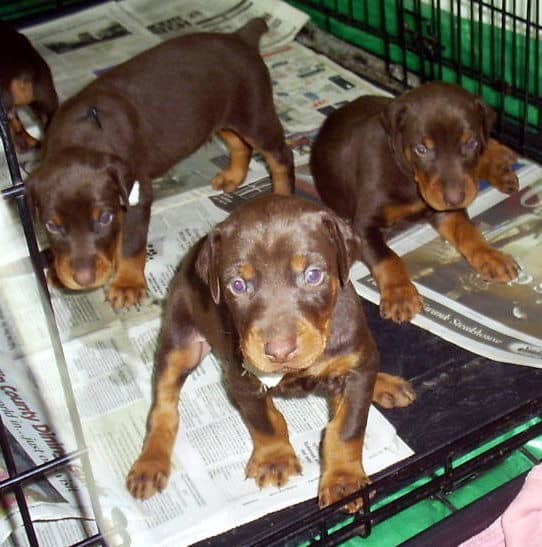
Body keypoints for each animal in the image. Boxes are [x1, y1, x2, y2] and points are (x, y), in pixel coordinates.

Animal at [23, 18, 296, 308]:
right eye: (51, 226)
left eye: (104, 218)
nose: (84, 279)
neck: (82, 137)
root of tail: (240, 38)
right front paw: (56, 270)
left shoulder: (137, 195)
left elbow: (132, 244)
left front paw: (127, 283)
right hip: (219, 118)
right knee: (239, 144)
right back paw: (233, 176)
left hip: (255, 116)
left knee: (281, 156)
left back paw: (281, 196)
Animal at [127, 196, 416, 512]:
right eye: (238, 285)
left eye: (313, 275)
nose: (280, 351)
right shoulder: (241, 378)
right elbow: (264, 420)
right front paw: (274, 458)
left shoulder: (357, 367)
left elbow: (347, 427)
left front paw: (344, 481)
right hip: (180, 340)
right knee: (163, 405)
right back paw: (150, 461)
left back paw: (386, 384)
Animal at [314, 79, 524, 324]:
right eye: (421, 149)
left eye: (470, 143)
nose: (455, 199)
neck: (409, 177)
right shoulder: (364, 226)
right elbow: (388, 257)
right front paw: (400, 294)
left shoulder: (445, 211)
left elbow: (468, 231)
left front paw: (491, 256)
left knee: (486, 149)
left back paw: (501, 160)